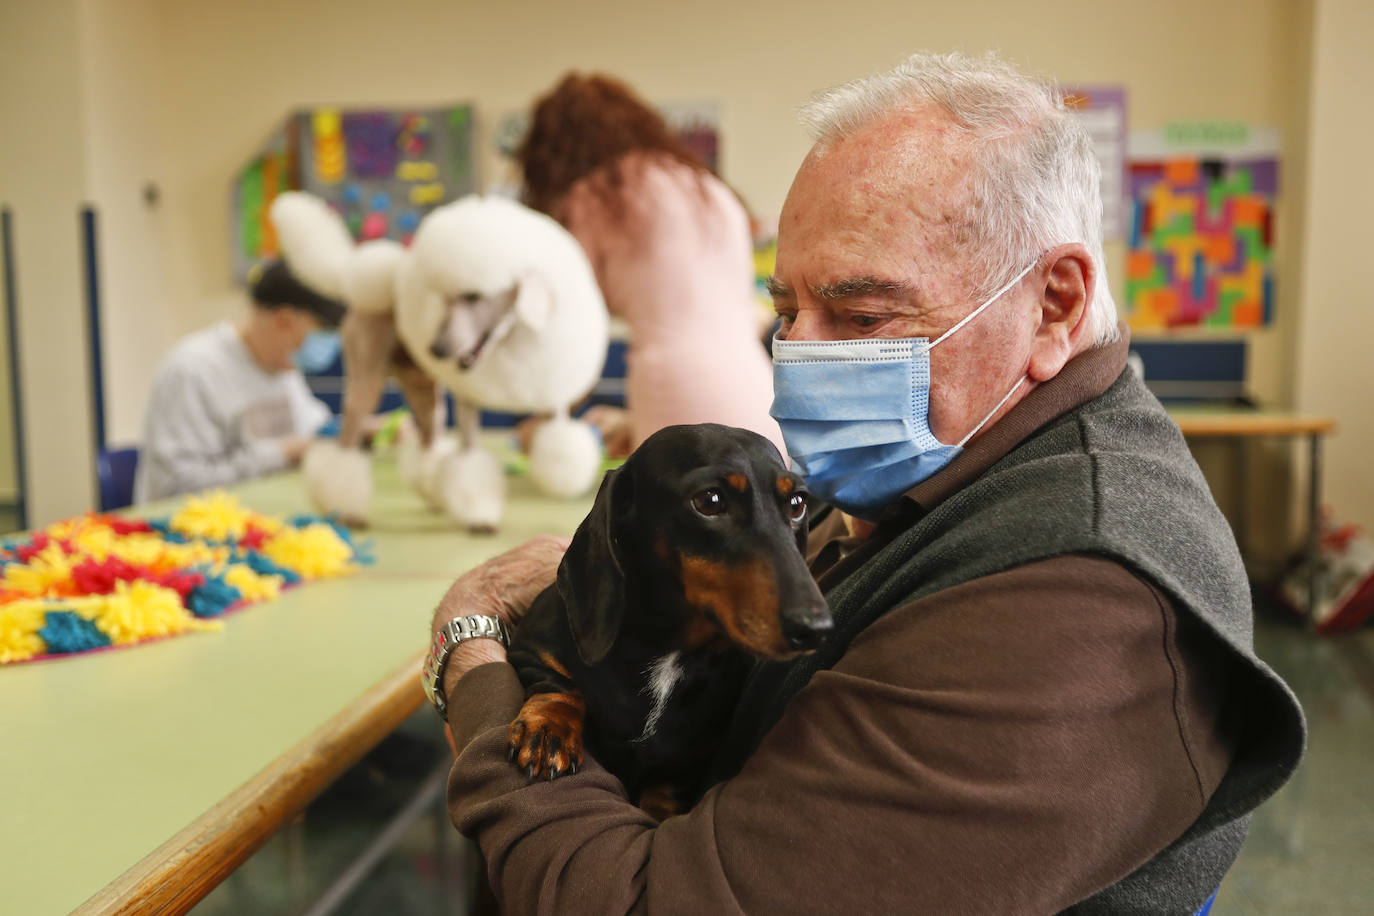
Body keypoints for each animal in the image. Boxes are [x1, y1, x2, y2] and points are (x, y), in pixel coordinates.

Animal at [505, 422, 824, 818]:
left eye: (797, 503)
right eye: (710, 501)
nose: (815, 628)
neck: (669, 651)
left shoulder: (683, 766)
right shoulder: (529, 649)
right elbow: (561, 686)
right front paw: (550, 730)